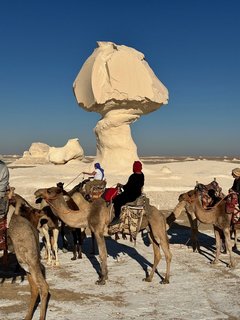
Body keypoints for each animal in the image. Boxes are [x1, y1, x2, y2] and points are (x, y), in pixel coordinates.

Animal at [34, 186, 172, 286]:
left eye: (49, 190)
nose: (37, 192)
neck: (86, 214)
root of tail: (160, 213)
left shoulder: (98, 231)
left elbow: (102, 255)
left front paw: (102, 279)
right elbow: (103, 254)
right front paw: (104, 277)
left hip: (158, 228)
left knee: (167, 254)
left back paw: (165, 280)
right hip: (150, 231)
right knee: (157, 254)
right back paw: (149, 278)